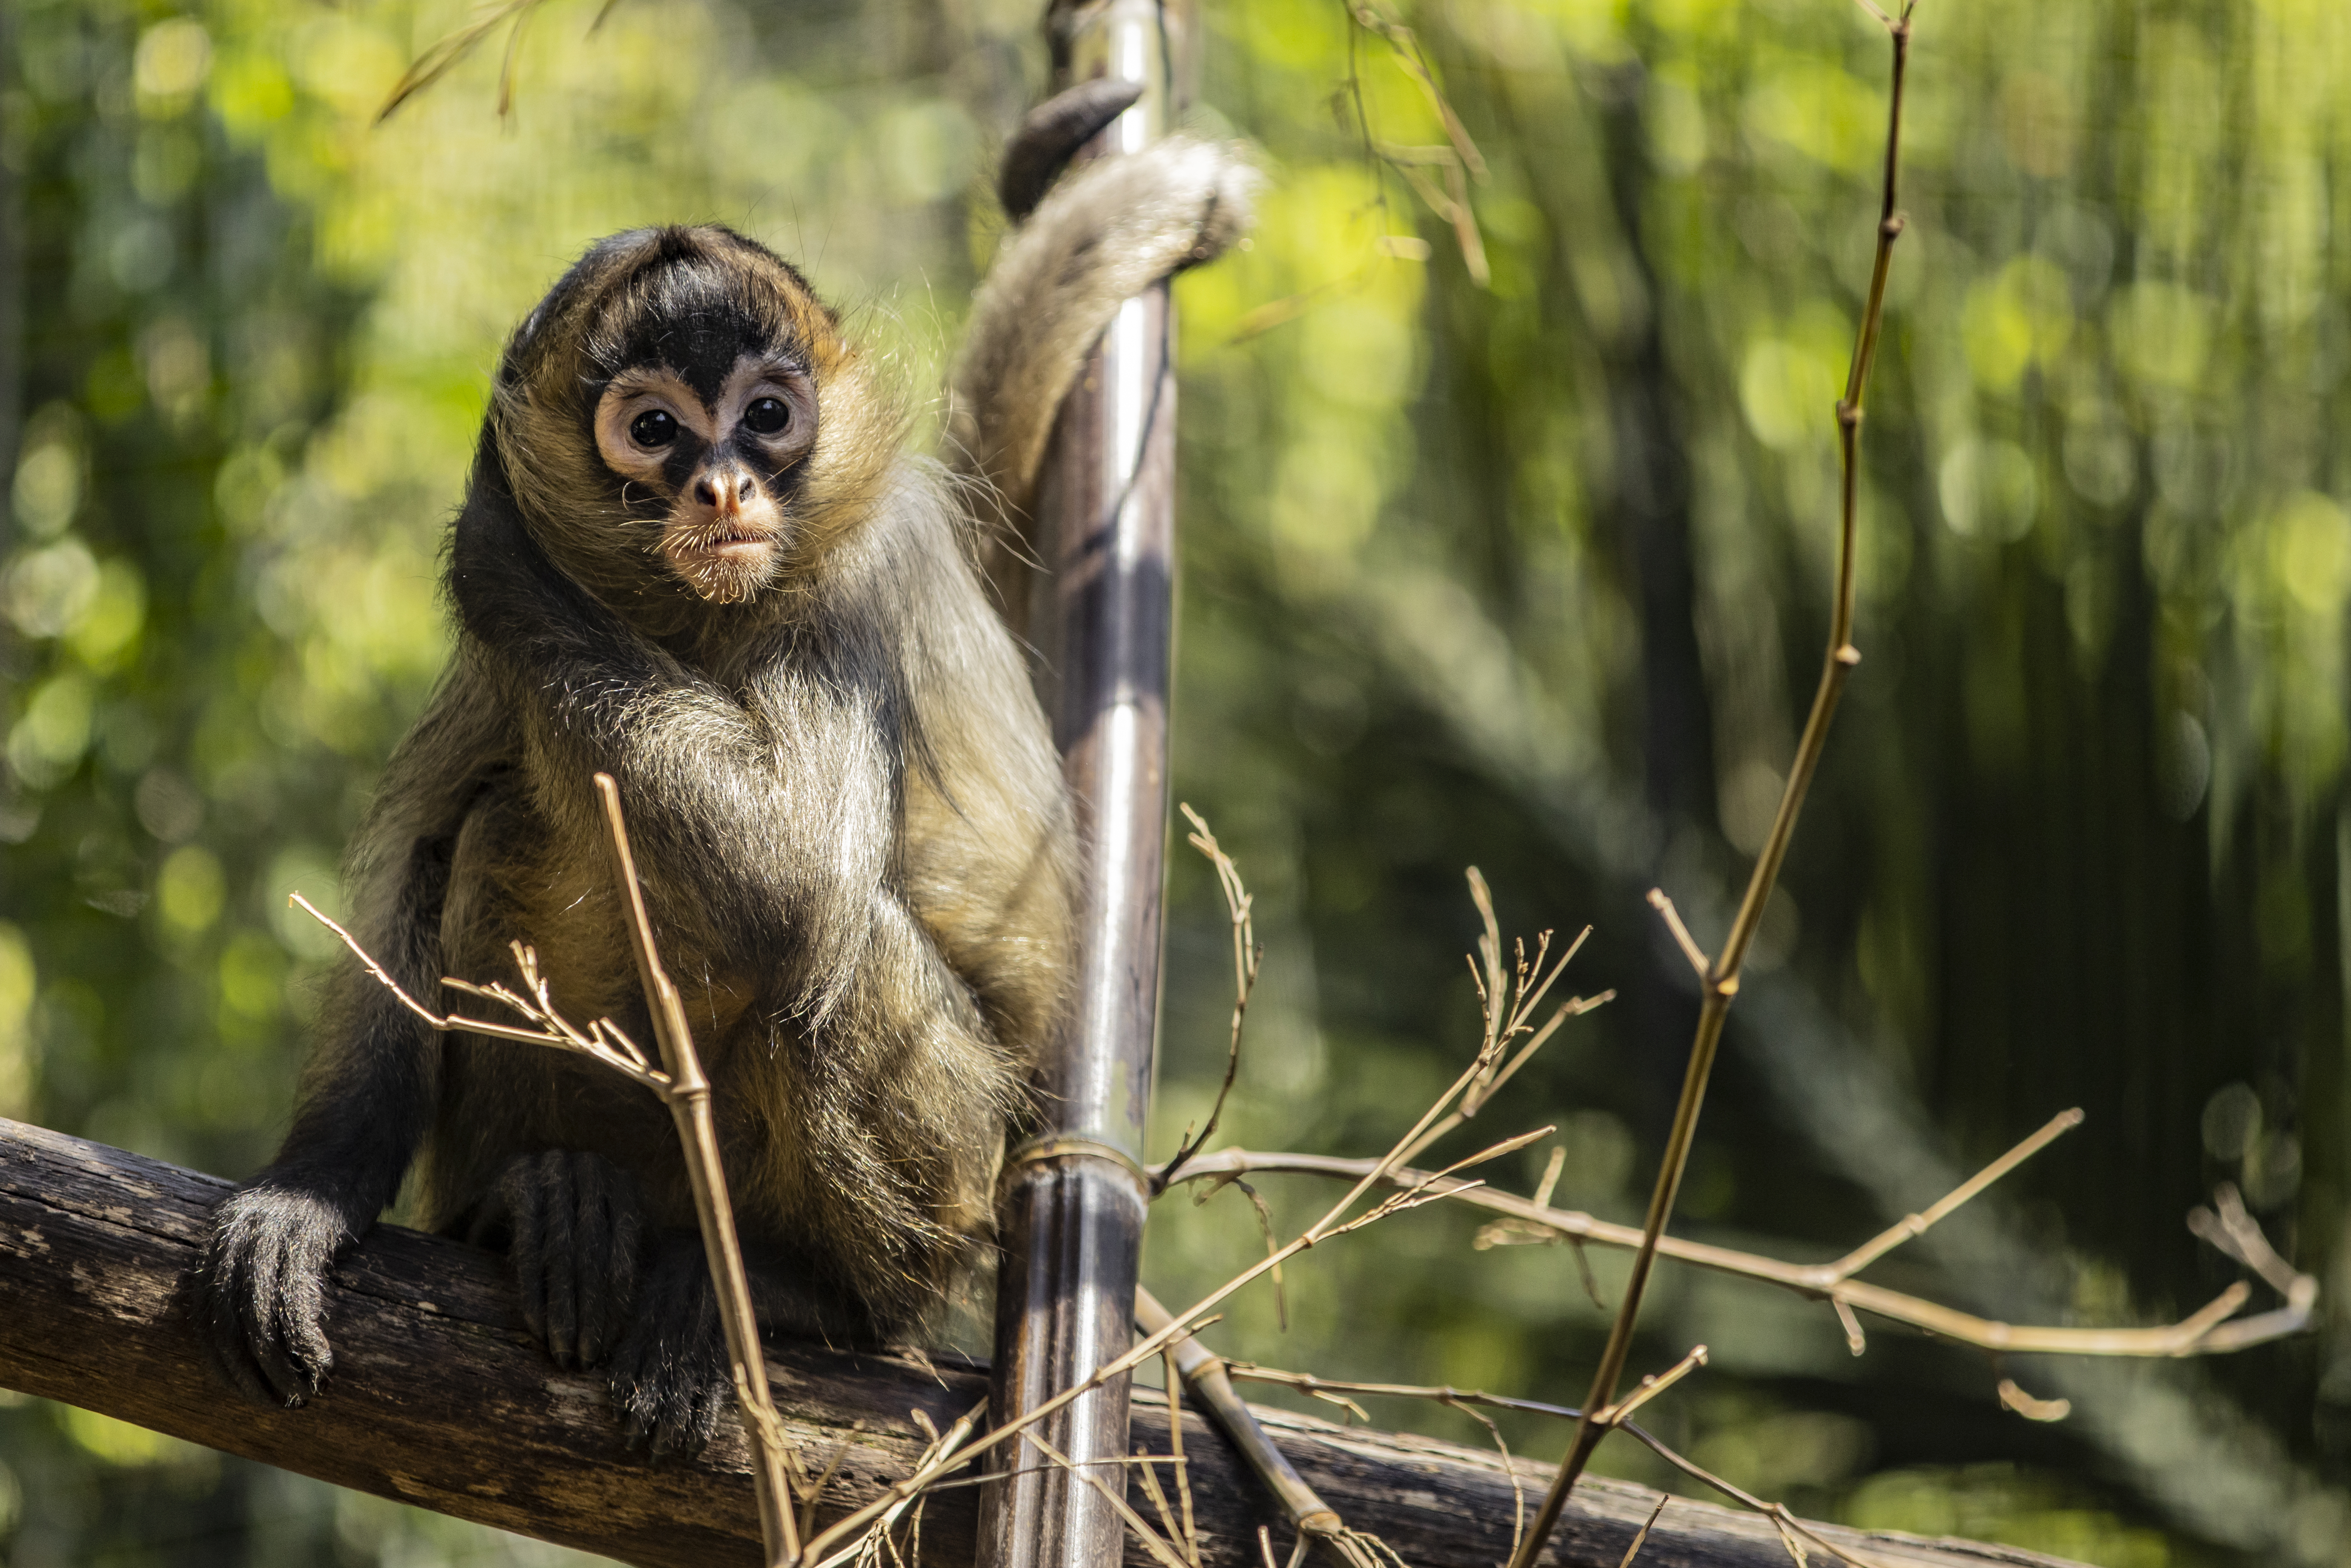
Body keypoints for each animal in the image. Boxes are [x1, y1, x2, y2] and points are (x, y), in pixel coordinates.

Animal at [192, 93, 1254, 1455]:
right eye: (653, 428)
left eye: (766, 414)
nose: (723, 483)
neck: (689, 619)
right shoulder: (505, 654)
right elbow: (410, 853)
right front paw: (317, 1190)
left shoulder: (855, 577)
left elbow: (797, 883)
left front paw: (493, 523)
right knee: (498, 828)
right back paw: (548, 1202)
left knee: (827, 957)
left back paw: (807, 1289)